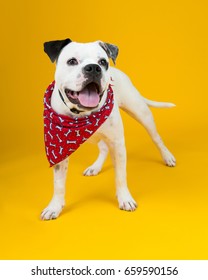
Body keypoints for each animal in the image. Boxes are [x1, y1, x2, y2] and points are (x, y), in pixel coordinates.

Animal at [40, 38, 176, 220]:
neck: (83, 114)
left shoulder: (117, 144)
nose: (93, 68)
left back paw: (167, 157)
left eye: (103, 62)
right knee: (103, 148)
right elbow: (59, 183)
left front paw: (125, 199)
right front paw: (54, 207)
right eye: (72, 61)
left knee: (156, 139)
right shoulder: (59, 149)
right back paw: (95, 167)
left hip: (142, 114)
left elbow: (120, 176)